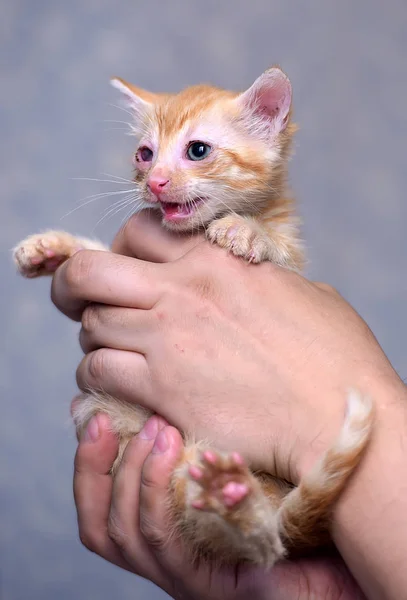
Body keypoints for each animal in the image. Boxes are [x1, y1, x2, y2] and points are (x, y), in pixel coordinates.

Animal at [14, 67, 374, 568]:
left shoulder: (295, 270)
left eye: (198, 150)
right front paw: (54, 247)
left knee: (266, 547)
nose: (156, 182)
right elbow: (101, 254)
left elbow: (277, 249)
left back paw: (239, 507)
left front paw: (249, 231)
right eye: (145, 154)